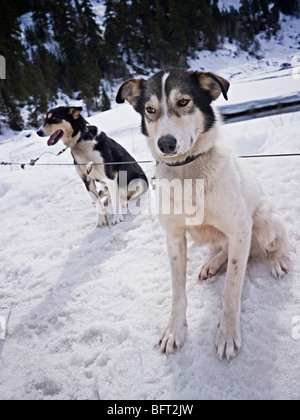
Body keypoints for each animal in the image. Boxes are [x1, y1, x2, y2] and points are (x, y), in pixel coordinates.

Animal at [116, 69, 288, 360]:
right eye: (150, 109)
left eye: (183, 102)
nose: (165, 144)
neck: (187, 171)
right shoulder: (174, 237)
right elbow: (177, 292)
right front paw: (174, 331)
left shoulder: (240, 228)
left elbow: (231, 290)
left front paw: (227, 334)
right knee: (225, 249)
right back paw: (212, 264)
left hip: (264, 219)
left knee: (275, 243)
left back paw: (276, 261)